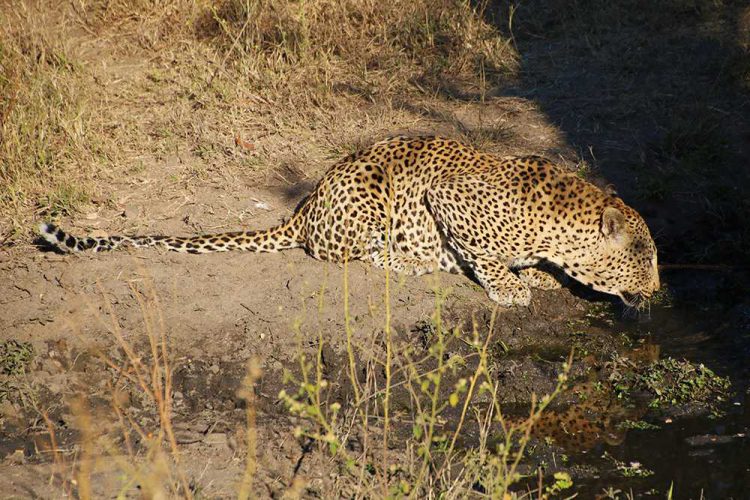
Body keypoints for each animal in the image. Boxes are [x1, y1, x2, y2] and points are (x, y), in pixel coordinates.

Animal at [42, 135, 664, 306]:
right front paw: (510, 286)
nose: (659, 290)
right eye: (647, 260)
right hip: (370, 191)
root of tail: (307, 206)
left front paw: (533, 275)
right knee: (353, 252)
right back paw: (415, 262)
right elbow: (484, 254)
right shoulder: (446, 195)